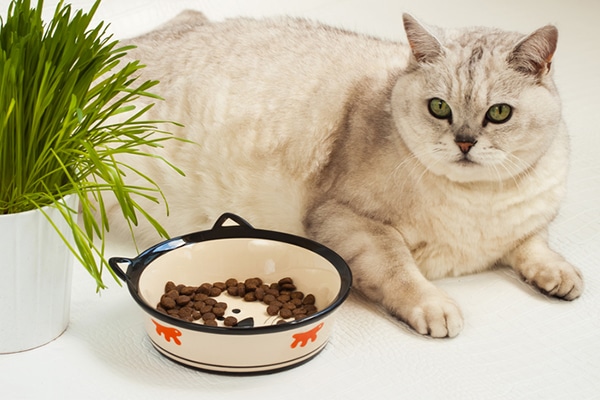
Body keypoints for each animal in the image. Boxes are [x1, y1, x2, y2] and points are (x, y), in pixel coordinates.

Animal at [106, 11, 580, 338]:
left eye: (498, 113)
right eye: (439, 107)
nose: (464, 142)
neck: (479, 202)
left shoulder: (529, 222)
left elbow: (535, 246)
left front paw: (560, 275)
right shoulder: (347, 220)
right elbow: (400, 269)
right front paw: (433, 307)